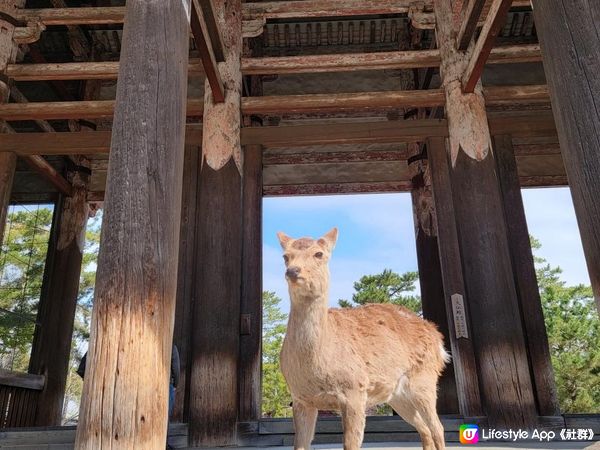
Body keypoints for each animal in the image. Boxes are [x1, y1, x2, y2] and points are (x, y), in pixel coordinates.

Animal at [278, 229, 448, 450]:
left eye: (319, 254)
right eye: (285, 256)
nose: (292, 271)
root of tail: (437, 337)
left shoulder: (355, 389)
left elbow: (351, 444)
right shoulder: (300, 398)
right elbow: (299, 445)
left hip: (425, 379)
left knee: (437, 427)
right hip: (397, 396)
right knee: (425, 429)